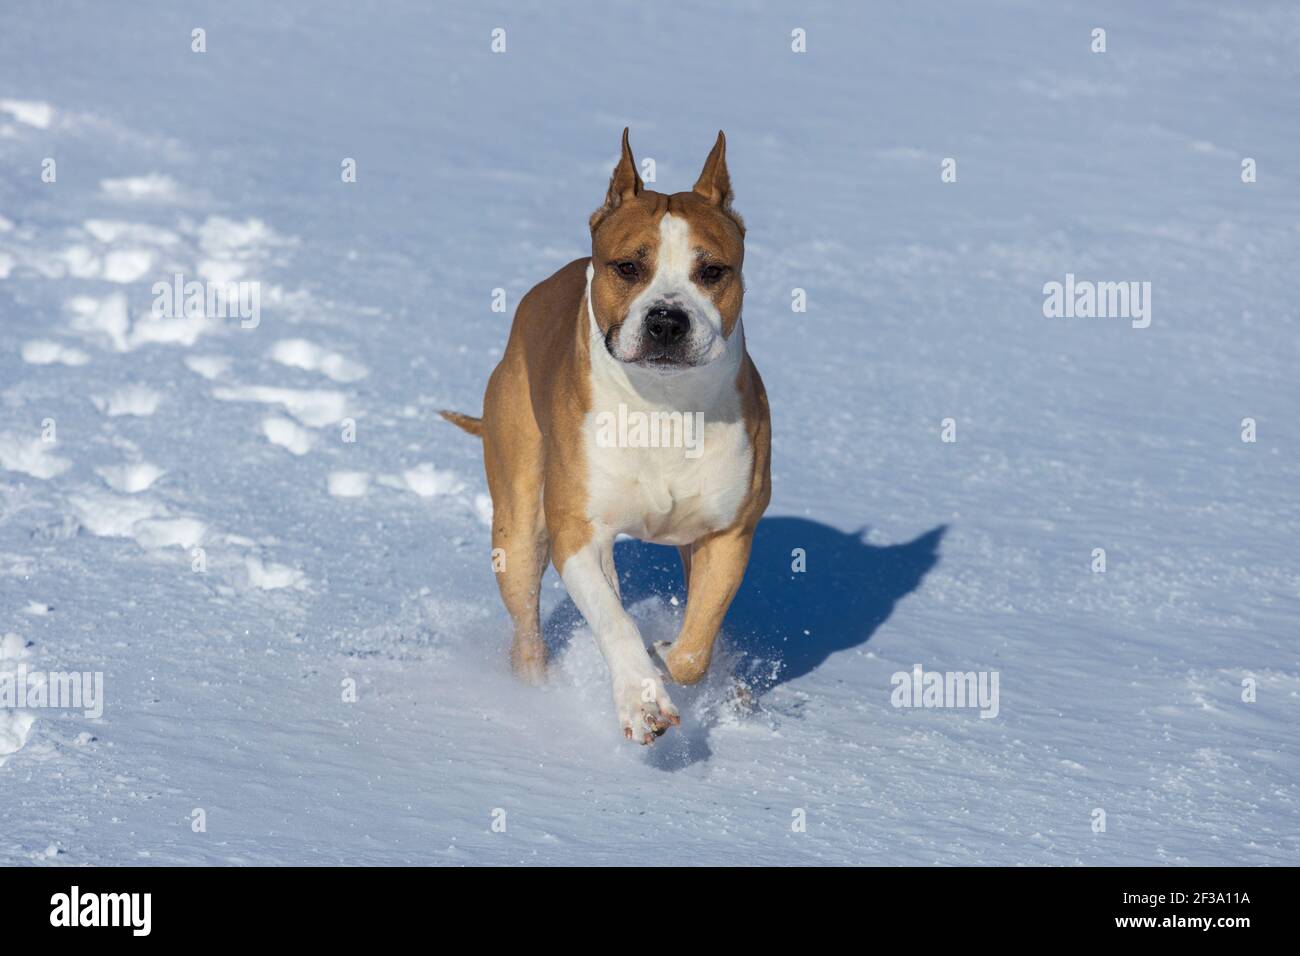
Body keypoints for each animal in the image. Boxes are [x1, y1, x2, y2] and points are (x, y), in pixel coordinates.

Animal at [447, 130, 769, 743]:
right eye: (627, 267)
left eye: (712, 271)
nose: (667, 319)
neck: (663, 407)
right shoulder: (579, 534)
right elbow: (615, 622)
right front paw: (642, 702)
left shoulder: (728, 534)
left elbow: (696, 647)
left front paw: (669, 655)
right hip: (518, 526)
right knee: (528, 631)